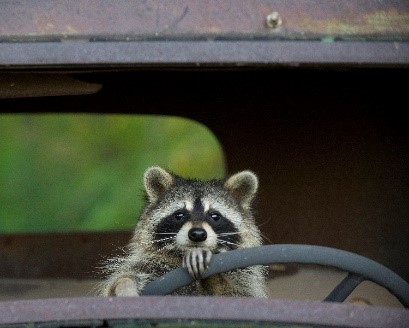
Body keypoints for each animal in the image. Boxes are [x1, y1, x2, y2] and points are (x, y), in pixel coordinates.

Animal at [97, 167, 266, 298]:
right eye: (179, 215)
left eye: (215, 216)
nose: (197, 234)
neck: (185, 256)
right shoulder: (149, 265)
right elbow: (122, 278)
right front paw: (124, 285)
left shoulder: (242, 277)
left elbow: (237, 293)